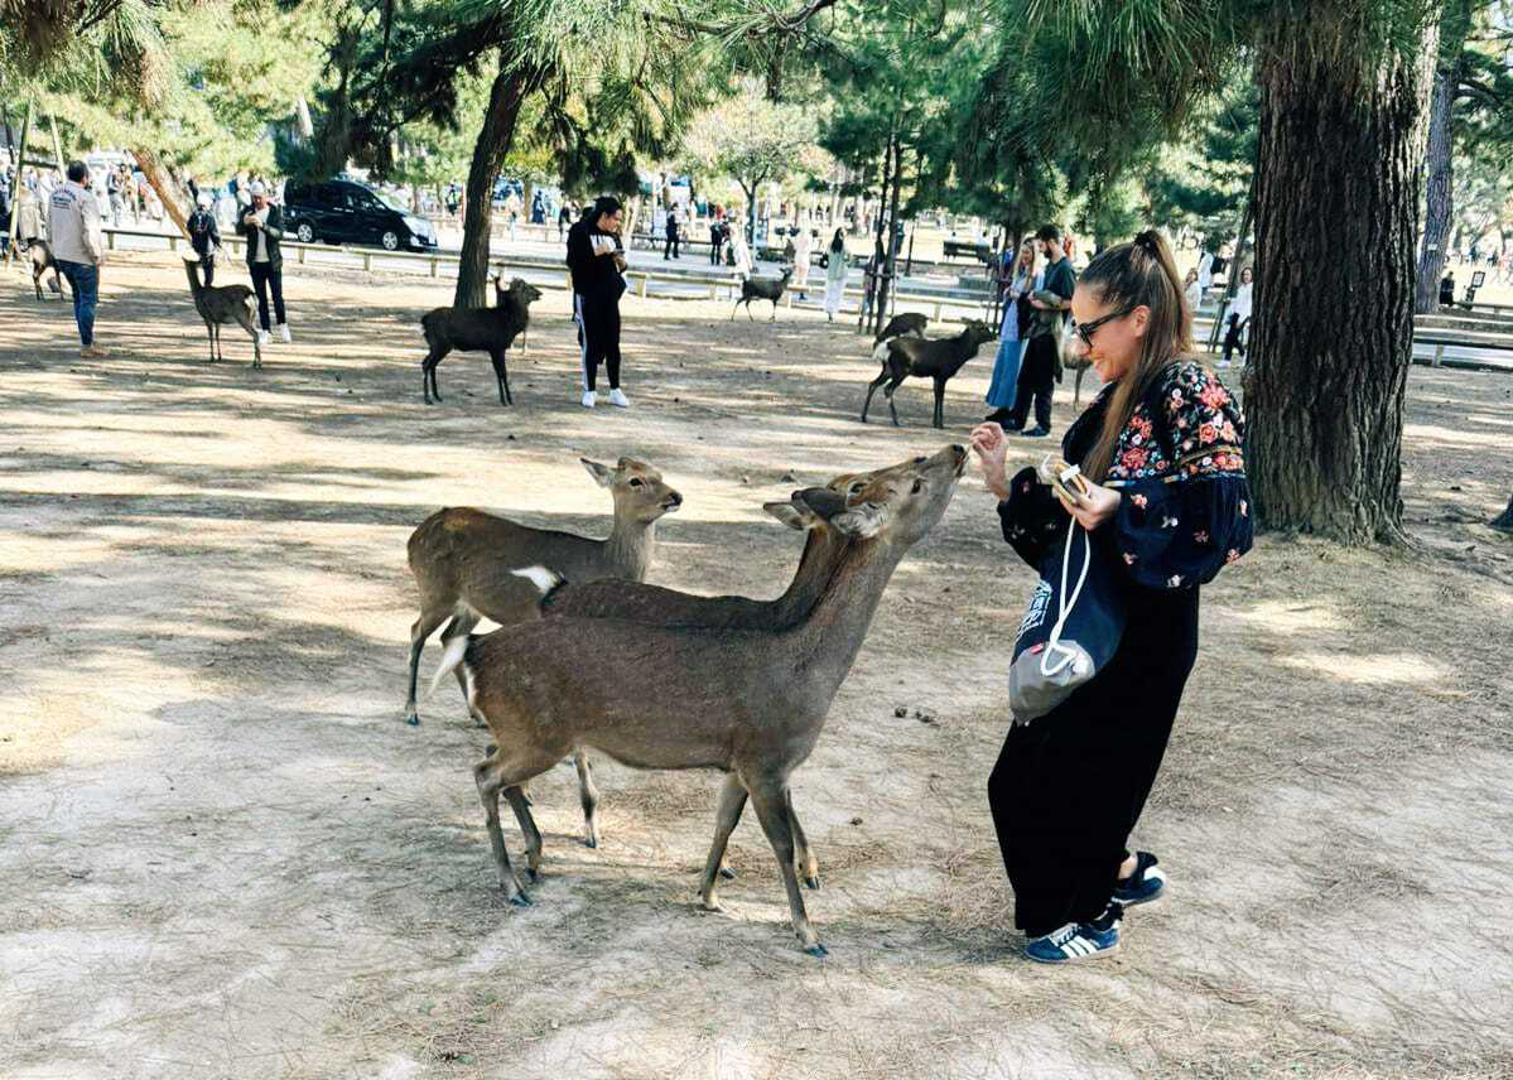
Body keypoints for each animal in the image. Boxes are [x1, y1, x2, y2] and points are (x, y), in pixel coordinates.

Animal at [405, 453, 683, 723]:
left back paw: (478, 715)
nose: (676, 496)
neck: (603, 562)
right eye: (635, 480)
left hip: (471, 604)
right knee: (417, 631)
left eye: (659, 474)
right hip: (435, 589)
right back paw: (412, 711)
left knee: (449, 636)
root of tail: (415, 537)